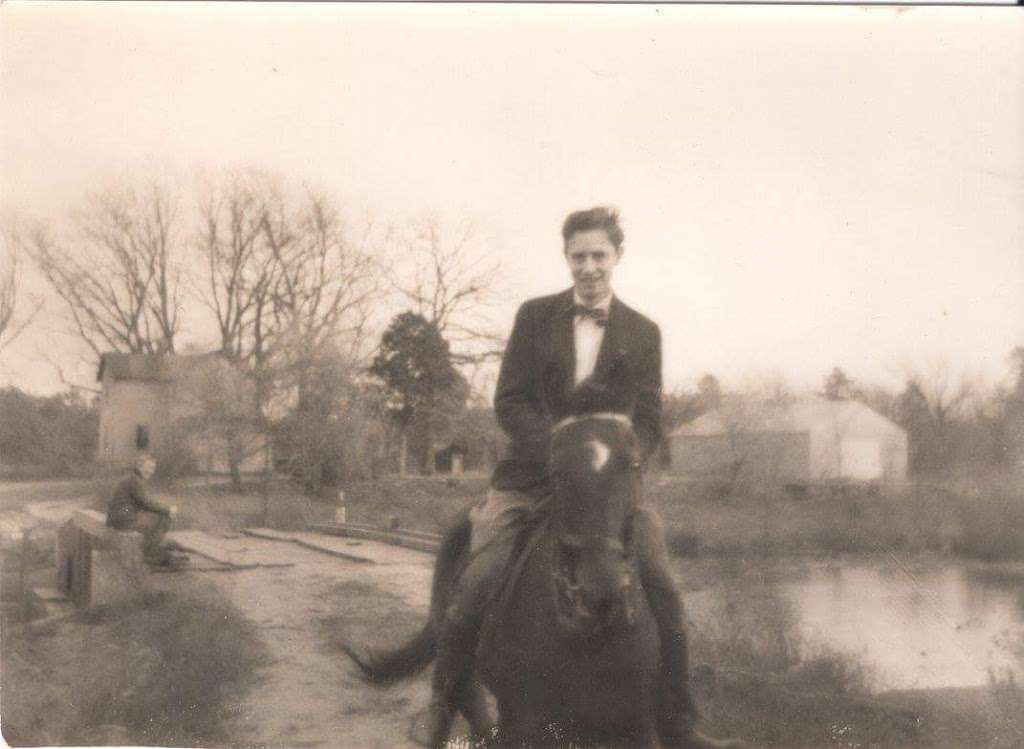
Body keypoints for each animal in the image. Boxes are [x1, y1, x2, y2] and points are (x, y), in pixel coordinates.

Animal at [344, 413, 688, 745]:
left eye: (634, 466)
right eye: (557, 472)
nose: (599, 588)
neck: (586, 637)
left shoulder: (634, 725)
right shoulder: (525, 721)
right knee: (465, 692)